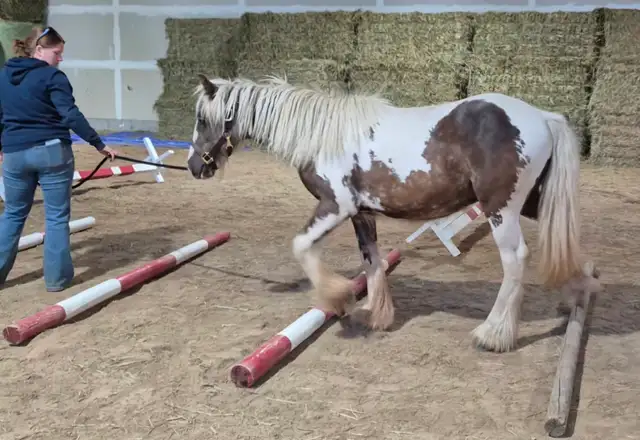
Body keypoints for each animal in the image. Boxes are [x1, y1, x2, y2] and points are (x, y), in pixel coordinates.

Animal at [186, 74, 602, 353]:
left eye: (203, 119)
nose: (193, 166)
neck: (324, 136)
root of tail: (542, 116)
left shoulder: (334, 207)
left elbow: (302, 246)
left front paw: (336, 297)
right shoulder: (360, 213)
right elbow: (372, 261)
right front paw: (375, 312)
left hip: (501, 209)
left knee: (516, 260)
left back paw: (493, 334)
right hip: (533, 203)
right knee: (567, 247)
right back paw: (573, 296)